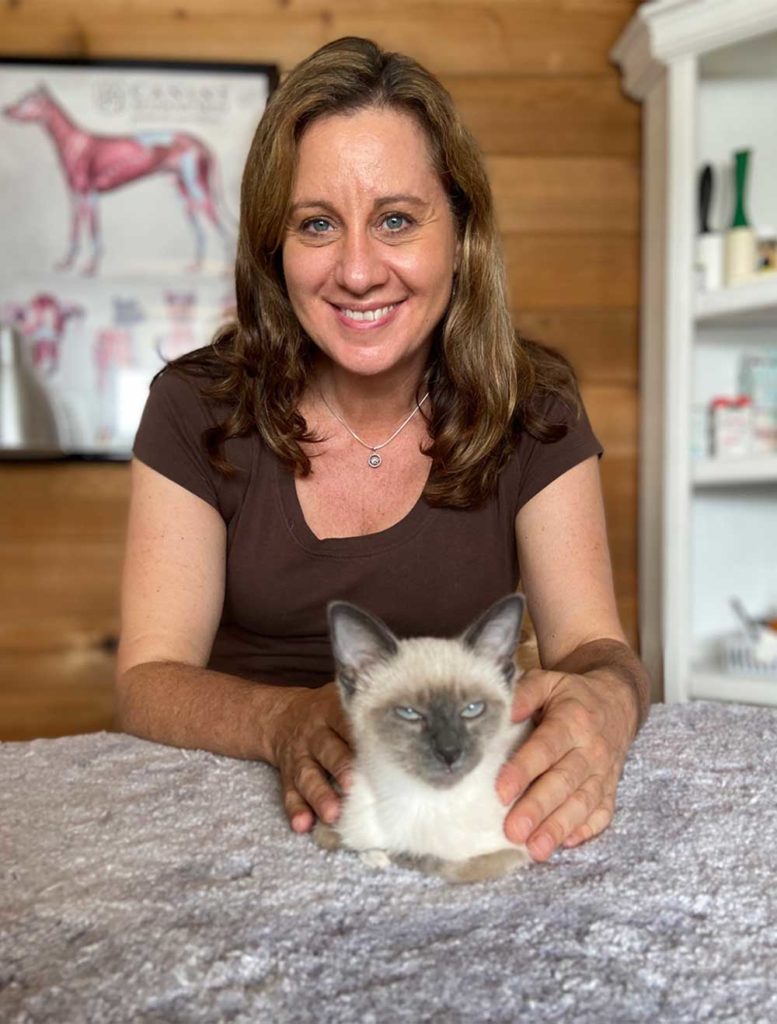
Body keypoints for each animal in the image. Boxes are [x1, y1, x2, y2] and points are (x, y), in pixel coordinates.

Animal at [313, 598, 532, 884]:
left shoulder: (516, 851)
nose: (450, 752)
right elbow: (344, 841)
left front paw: (385, 855)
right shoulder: (330, 822)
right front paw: (375, 854)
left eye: (472, 709)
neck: (421, 801)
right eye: (409, 713)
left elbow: (439, 864)